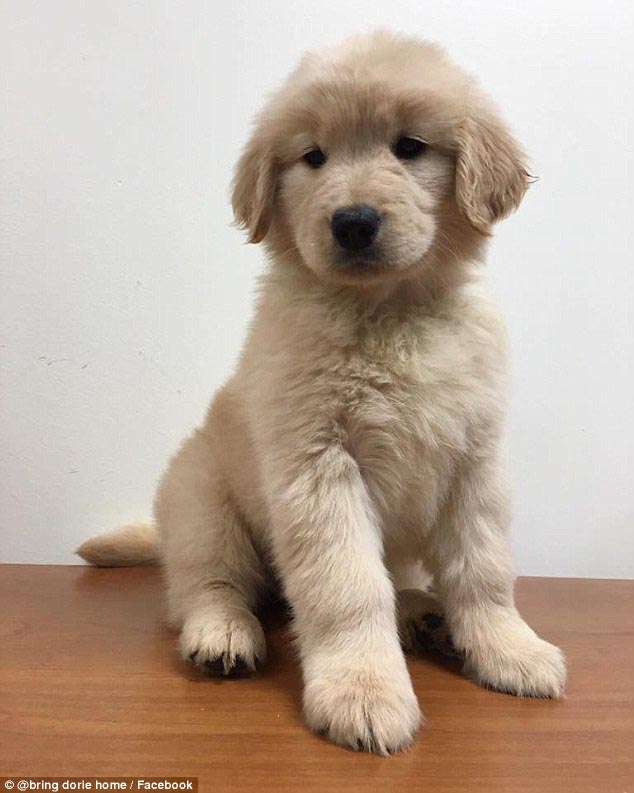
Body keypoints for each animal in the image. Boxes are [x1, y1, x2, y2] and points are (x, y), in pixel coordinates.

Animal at [76, 32, 564, 756]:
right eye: (313, 157)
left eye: (409, 146)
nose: (353, 222)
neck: (388, 311)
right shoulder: (318, 463)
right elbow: (348, 587)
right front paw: (363, 690)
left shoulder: (476, 460)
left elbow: (485, 569)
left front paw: (509, 648)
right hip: (201, 503)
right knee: (207, 584)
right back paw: (222, 632)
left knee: (402, 578)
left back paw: (426, 615)